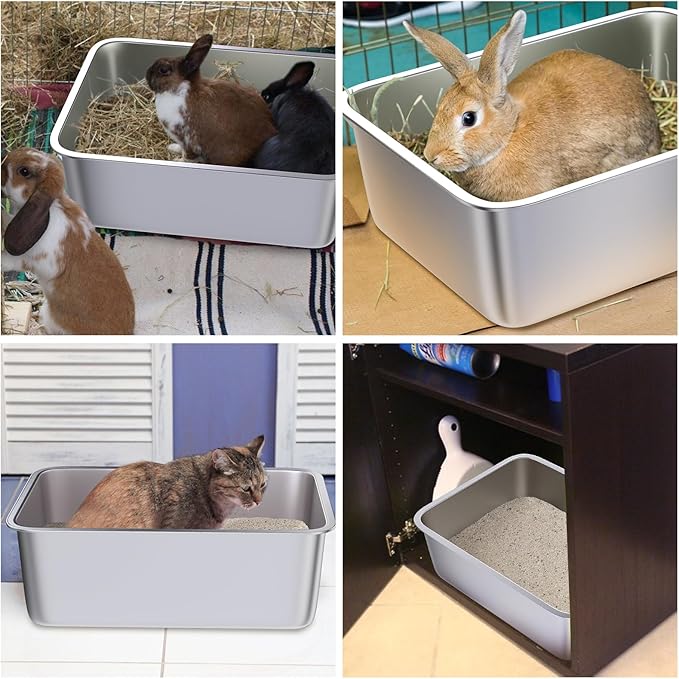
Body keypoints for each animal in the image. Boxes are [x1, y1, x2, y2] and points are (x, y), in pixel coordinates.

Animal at [146, 34, 276, 167]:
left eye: (164, 70)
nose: (147, 74)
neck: (180, 90)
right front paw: (172, 147)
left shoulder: (187, 140)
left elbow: (188, 156)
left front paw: (178, 160)